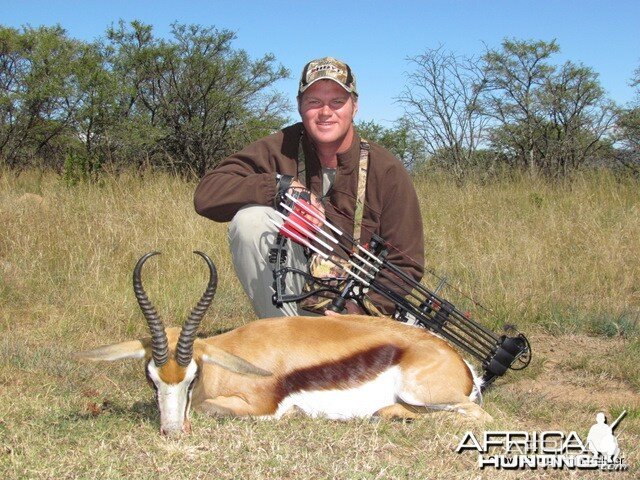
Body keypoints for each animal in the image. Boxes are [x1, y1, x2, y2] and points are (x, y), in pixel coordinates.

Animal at [79, 251, 490, 436]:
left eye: (192, 377)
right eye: (151, 378)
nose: (171, 431)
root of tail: (462, 364)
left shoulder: (256, 406)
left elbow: (215, 410)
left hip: (423, 393)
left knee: (479, 416)